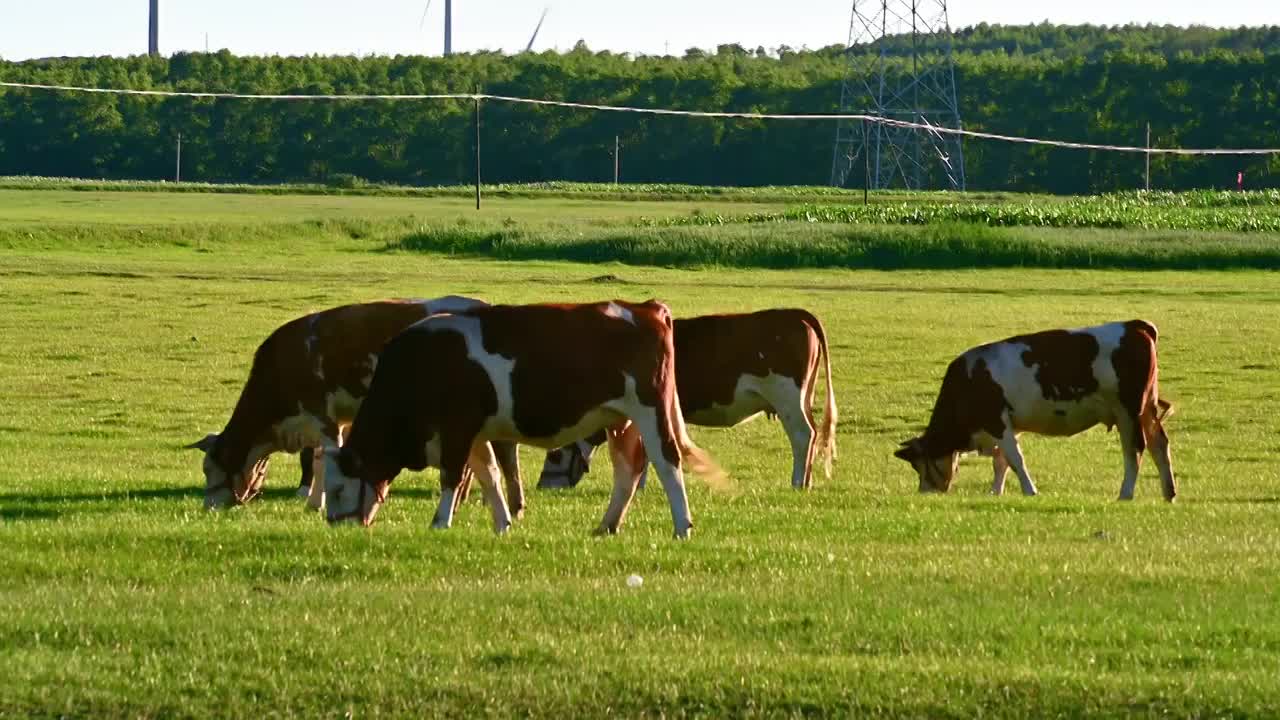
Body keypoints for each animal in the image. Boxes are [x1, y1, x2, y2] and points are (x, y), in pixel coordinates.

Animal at [184, 294, 519, 512]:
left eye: (209, 468)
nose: (208, 507)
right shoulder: (335, 419)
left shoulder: (322, 417)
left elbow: (319, 459)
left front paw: (315, 502)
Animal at [322, 298, 721, 538]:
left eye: (338, 488)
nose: (335, 526)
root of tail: (643, 308)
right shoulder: (475, 434)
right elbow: (489, 475)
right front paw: (502, 523)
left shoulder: (456, 430)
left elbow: (453, 476)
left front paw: (440, 522)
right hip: (619, 420)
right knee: (628, 469)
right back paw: (607, 525)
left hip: (650, 411)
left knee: (667, 462)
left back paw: (682, 526)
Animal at [535, 304, 834, 489]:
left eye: (554, 457)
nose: (543, 486)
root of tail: (794, 314)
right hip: (803, 398)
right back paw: (807, 480)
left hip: (787, 398)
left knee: (802, 435)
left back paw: (797, 481)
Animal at [896, 319, 1172, 499]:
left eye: (919, 464)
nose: (925, 492)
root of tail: (1135, 325)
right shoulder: (1008, 426)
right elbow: (1002, 462)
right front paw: (995, 492)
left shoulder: (996, 422)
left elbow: (1015, 459)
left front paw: (1030, 490)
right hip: (1147, 408)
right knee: (1159, 444)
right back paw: (1169, 493)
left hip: (1129, 411)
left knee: (1135, 449)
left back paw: (1125, 493)